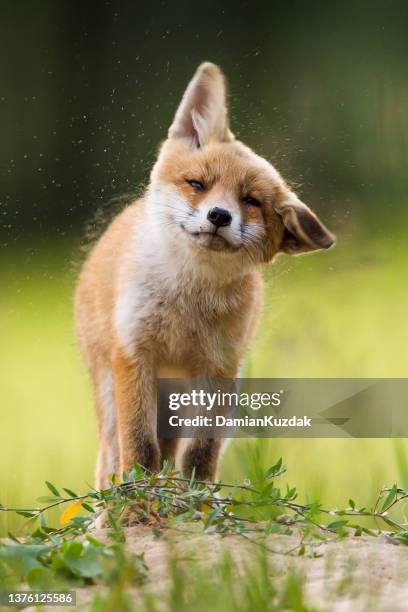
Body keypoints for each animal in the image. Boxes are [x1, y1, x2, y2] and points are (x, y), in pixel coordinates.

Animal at [75, 62, 334, 490]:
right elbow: (140, 448)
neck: (187, 300)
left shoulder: (218, 368)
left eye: (251, 202)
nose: (219, 216)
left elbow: (199, 453)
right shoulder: (134, 353)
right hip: (112, 392)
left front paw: (198, 496)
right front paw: (140, 495)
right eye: (197, 184)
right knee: (111, 457)